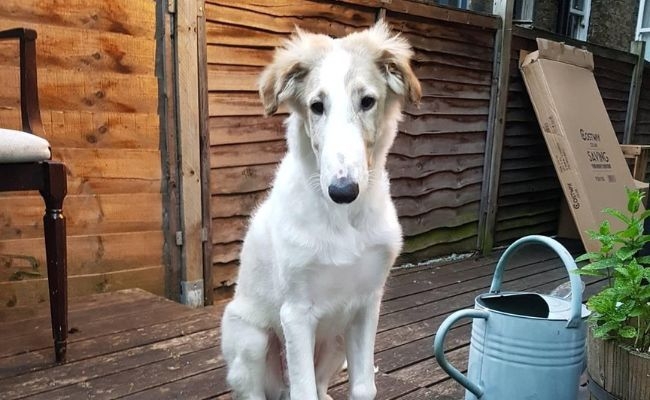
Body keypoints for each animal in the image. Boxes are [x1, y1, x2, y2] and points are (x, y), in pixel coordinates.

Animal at [220, 21, 418, 400]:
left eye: (367, 101)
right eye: (316, 106)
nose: (343, 191)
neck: (344, 220)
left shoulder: (367, 304)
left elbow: (363, 388)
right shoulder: (296, 313)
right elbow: (304, 392)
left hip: (336, 344)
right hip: (251, 339)